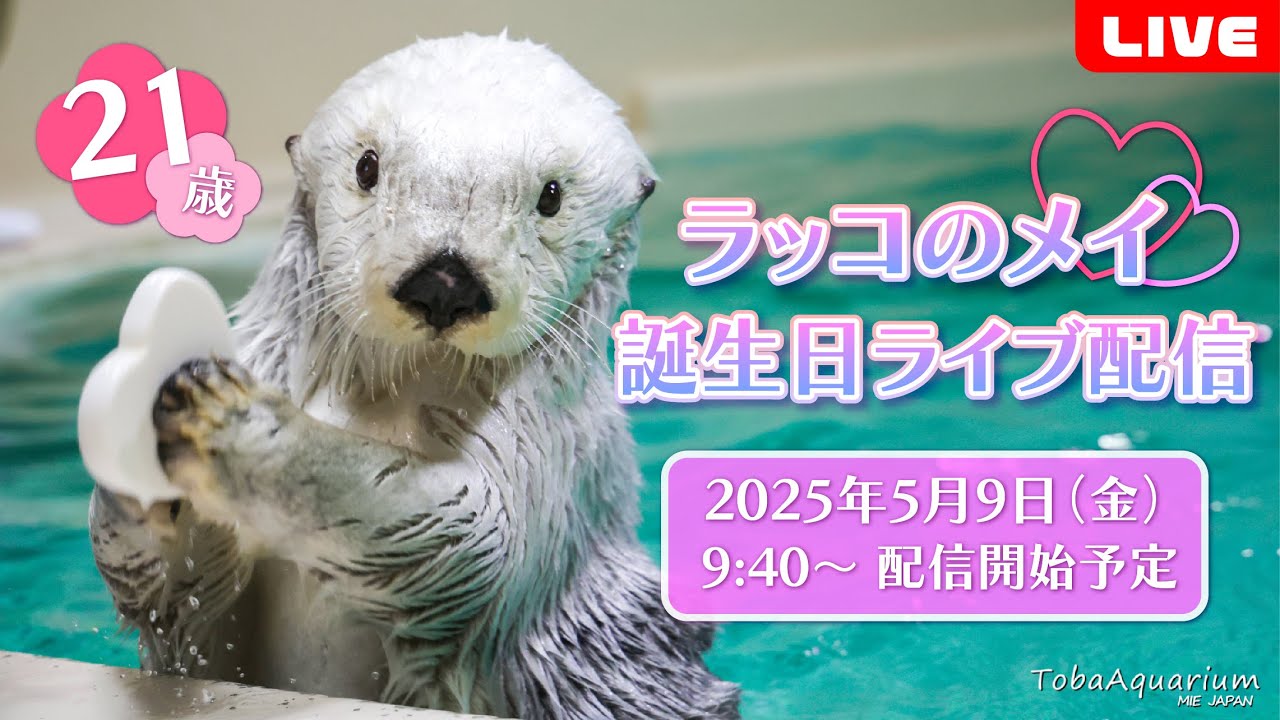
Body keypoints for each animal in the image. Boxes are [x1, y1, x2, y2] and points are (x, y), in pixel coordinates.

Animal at [88, 33, 740, 719]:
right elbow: (182, 598)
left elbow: (470, 532)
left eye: (551, 197)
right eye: (366, 168)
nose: (445, 284)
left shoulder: (553, 456)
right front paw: (145, 477)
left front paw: (229, 421)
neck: (394, 388)